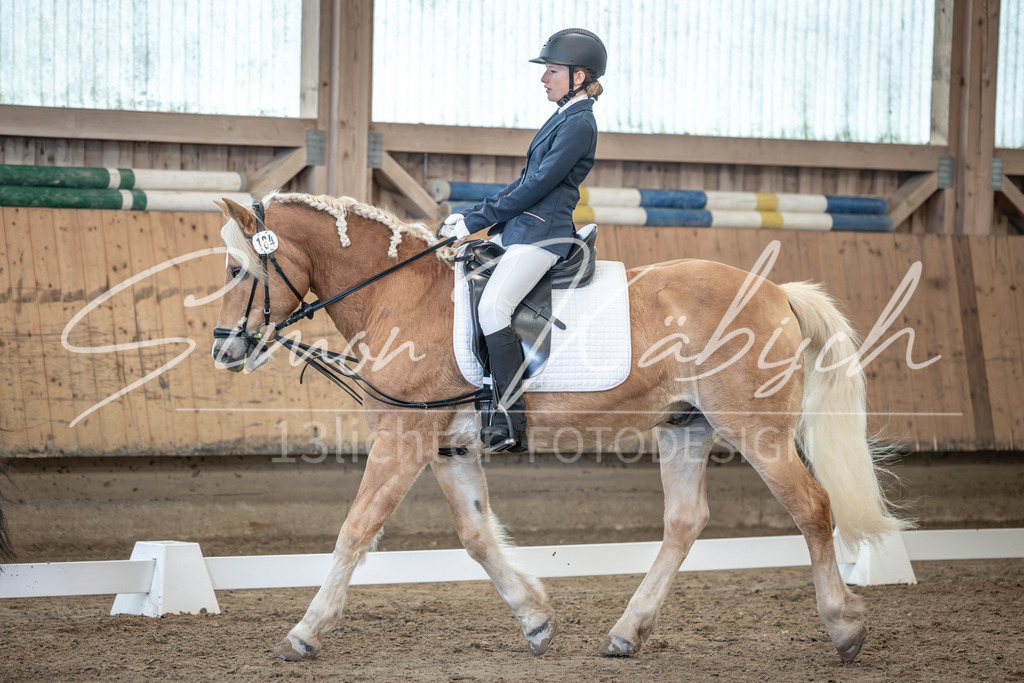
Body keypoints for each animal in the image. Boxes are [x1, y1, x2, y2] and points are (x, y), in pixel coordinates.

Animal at [210, 192, 907, 663]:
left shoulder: (403, 441)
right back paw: (627, 632)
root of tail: (777, 292)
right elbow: (476, 536)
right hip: (685, 427)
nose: (223, 349)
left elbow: (357, 530)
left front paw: (304, 632)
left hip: (757, 431)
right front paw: (537, 620)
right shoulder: (449, 447)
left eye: (239, 270)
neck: (400, 295)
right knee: (685, 522)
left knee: (813, 508)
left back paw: (845, 627)